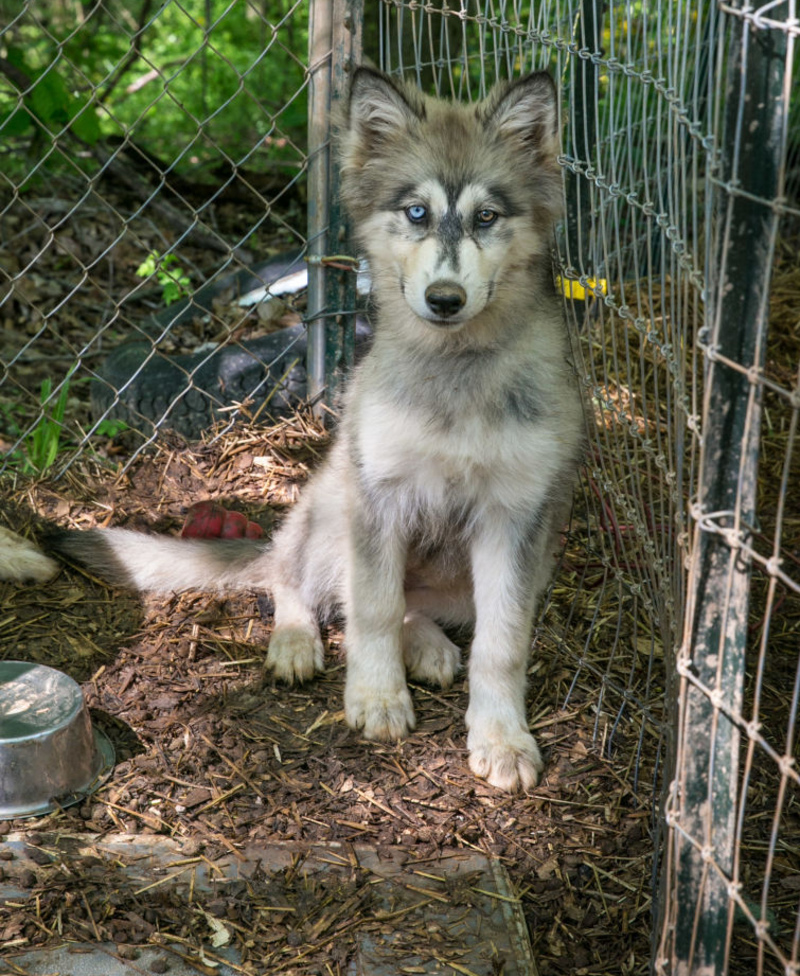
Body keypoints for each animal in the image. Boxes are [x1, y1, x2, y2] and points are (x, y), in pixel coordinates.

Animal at [53, 68, 584, 788]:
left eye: (486, 217)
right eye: (416, 213)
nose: (444, 300)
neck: (454, 370)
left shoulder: (515, 522)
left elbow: (501, 644)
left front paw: (501, 737)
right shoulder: (378, 498)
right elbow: (373, 609)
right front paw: (376, 696)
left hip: (499, 567)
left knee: (412, 604)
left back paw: (429, 647)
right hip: (333, 506)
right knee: (294, 578)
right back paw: (299, 641)